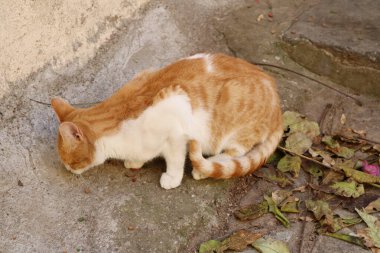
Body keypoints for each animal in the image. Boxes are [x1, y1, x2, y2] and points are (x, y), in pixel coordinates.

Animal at [50, 53, 282, 189]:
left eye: (71, 161)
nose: (69, 170)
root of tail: (278, 103)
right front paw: (135, 161)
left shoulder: (176, 126)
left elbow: (175, 160)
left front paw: (171, 178)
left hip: (232, 125)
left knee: (234, 153)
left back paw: (204, 168)